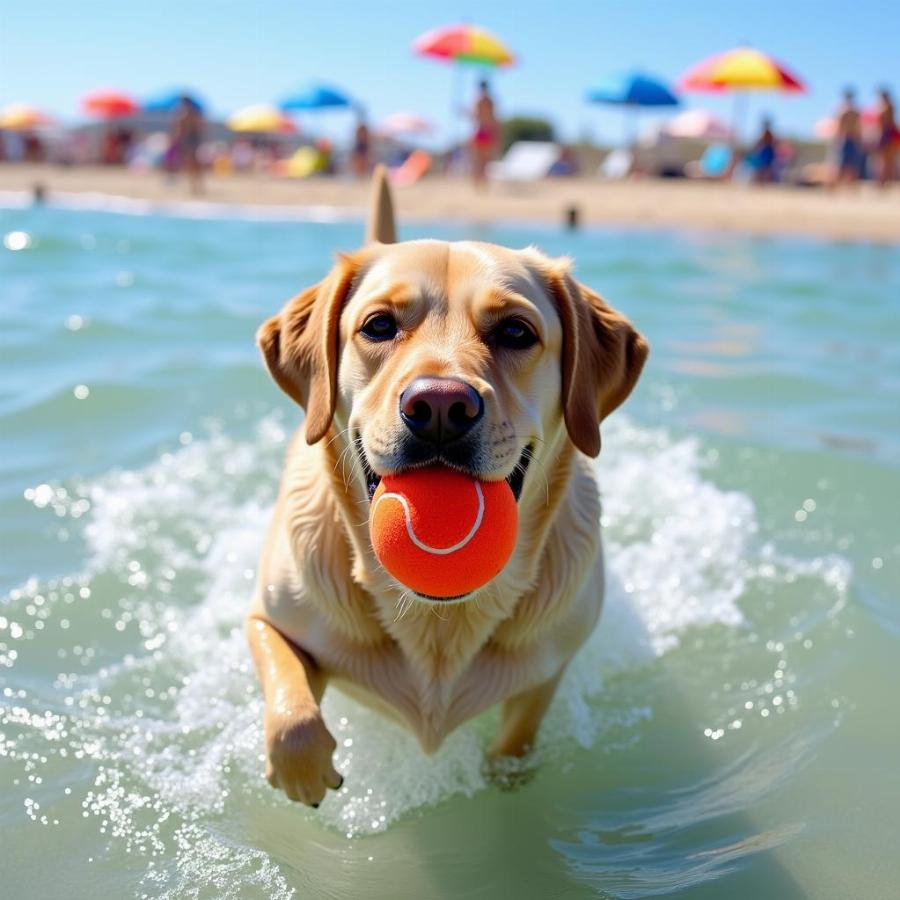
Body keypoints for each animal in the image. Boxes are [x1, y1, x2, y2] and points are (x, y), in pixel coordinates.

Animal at [244, 172, 648, 804]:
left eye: (515, 331)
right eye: (378, 325)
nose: (438, 405)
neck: (439, 621)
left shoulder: (549, 667)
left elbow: (517, 739)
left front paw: (507, 779)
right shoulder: (265, 617)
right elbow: (292, 709)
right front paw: (304, 770)